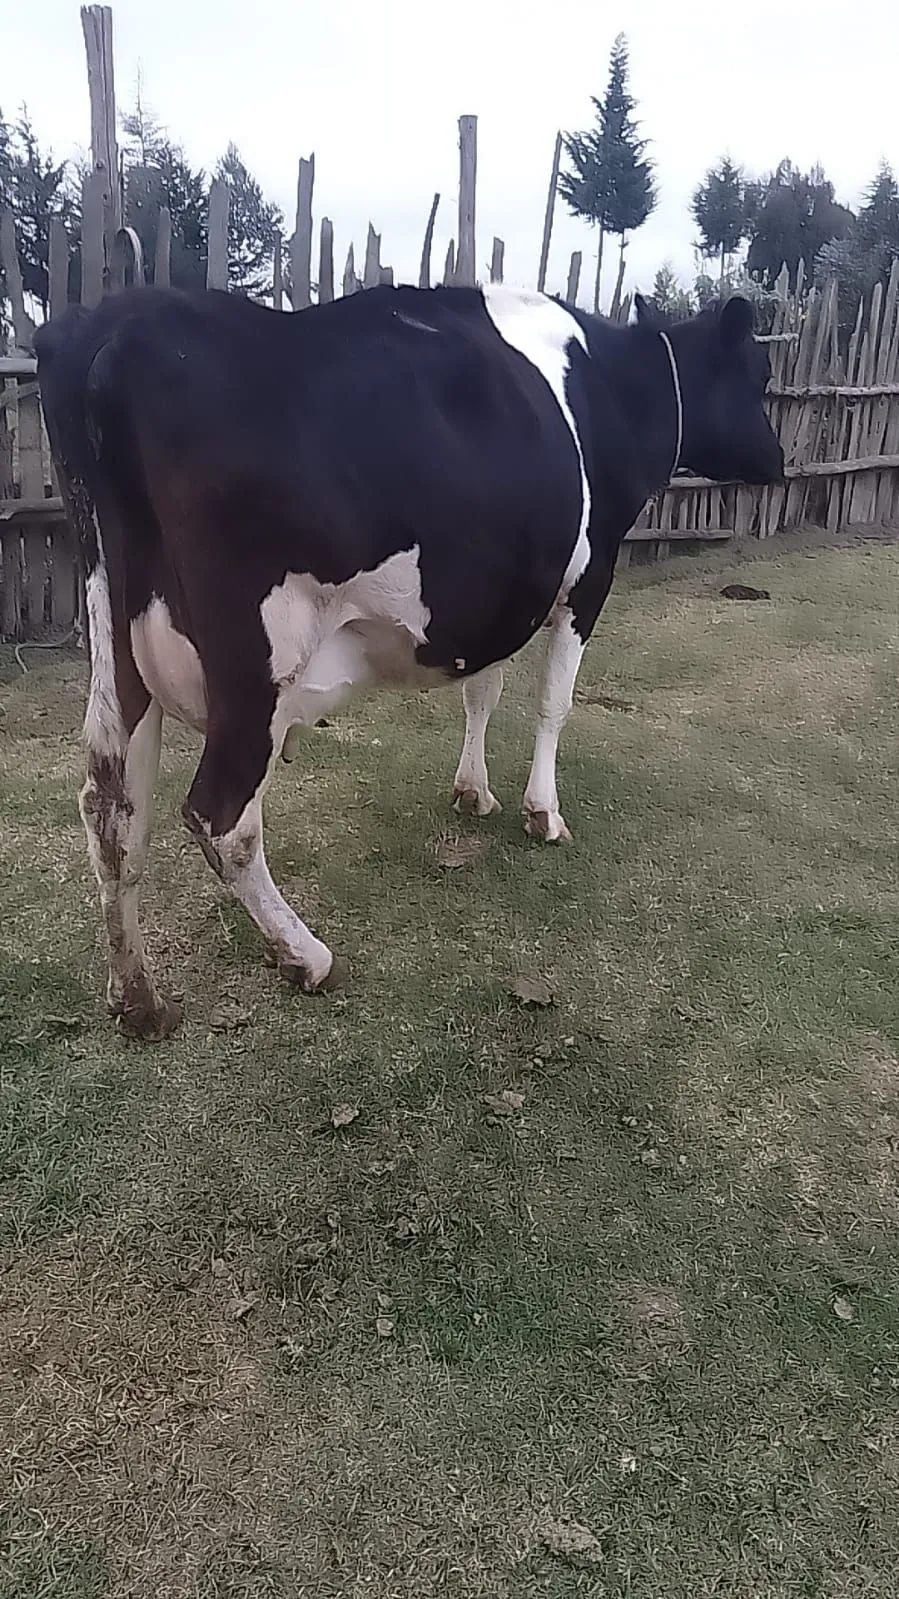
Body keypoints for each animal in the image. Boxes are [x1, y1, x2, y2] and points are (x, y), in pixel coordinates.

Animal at [35, 283, 783, 1039]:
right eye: (759, 375)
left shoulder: (494, 595)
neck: (613, 384)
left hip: (118, 643)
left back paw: (138, 997)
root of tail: (129, 323)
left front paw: (472, 790)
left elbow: (482, 692)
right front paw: (542, 814)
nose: (778, 460)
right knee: (221, 816)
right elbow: (554, 702)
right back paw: (306, 955)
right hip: (255, 666)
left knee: (111, 808)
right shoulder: (588, 578)